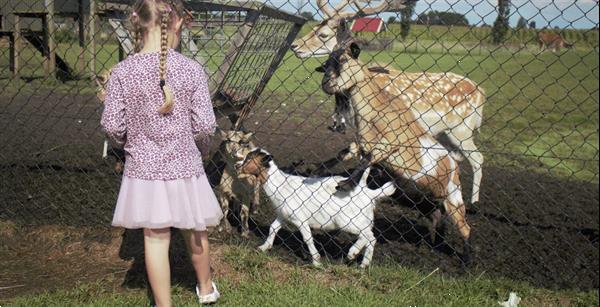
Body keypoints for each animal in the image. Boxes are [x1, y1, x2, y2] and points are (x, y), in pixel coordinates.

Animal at [294, 0, 488, 207]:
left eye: (323, 34)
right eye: (314, 26)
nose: (294, 46)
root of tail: (482, 92)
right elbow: (351, 150)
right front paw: (313, 168)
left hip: (462, 130)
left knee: (477, 158)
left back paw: (473, 202)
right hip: (444, 133)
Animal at [316, 42, 476, 266]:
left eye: (345, 59)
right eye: (327, 62)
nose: (326, 82)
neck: (376, 109)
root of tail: (454, 166)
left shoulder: (390, 143)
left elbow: (366, 161)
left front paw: (345, 184)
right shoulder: (364, 144)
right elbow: (347, 152)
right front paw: (321, 169)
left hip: (453, 195)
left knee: (465, 227)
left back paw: (466, 262)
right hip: (426, 197)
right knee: (437, 216)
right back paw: (435, 243)